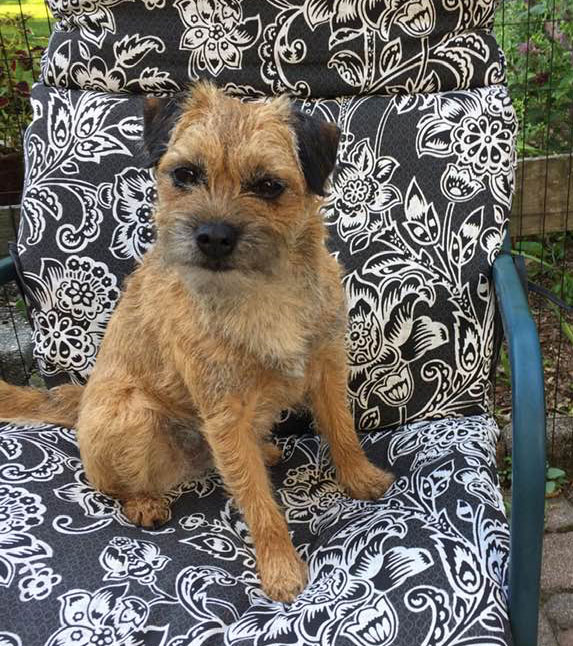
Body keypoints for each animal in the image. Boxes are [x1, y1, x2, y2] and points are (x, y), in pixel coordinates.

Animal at [0, 83, 394, 601]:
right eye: (186, 175)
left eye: (268, 186)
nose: (213, 236)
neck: (264, 288)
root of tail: (79, 402)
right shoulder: (224, 412)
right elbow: (258, 501)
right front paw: (280, 567)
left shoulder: (327, 367)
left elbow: (342, 431)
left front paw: (361, 478)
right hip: (133, 415)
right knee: (110, 482)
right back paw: (143, 502)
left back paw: (265, 450)